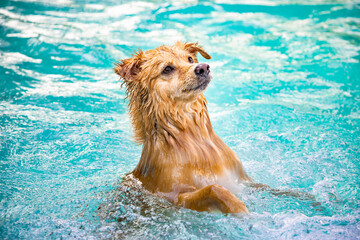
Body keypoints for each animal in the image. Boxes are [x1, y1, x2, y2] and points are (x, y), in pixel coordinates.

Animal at [115, 41, 253, 214]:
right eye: (167, 69)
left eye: (190, 59)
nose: (203, 68)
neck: (195, 138)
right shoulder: (175, 197)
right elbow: (213, 189)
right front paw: (238, 207)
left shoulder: (242, 177)